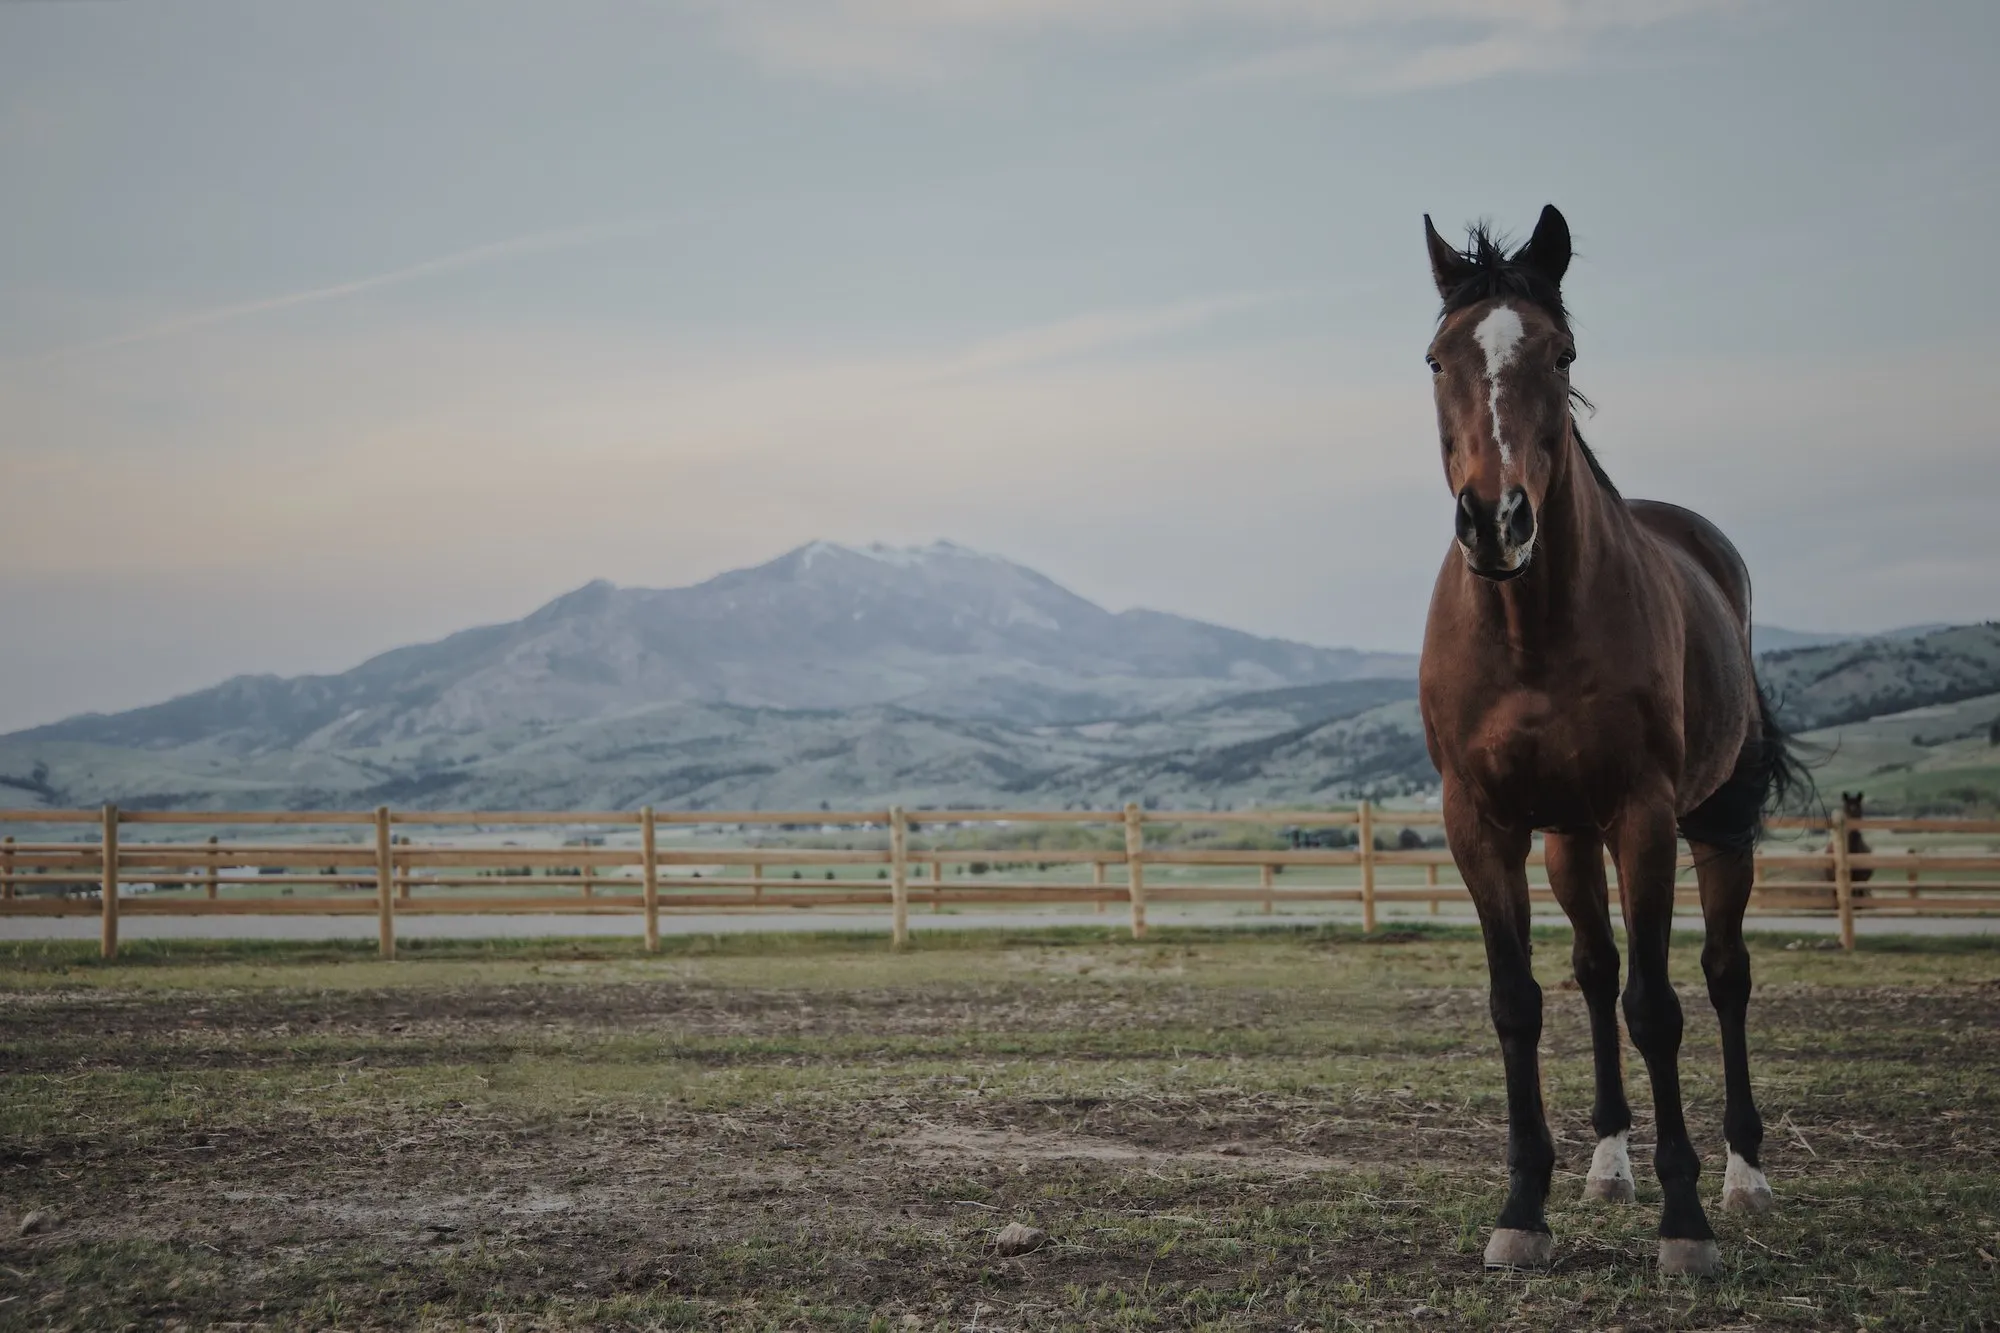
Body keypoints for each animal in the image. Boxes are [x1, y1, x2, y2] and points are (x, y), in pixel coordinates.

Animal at [1417, 205, 1802, 1276]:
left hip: (1712, 824)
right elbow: (1520, 1002)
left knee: (1723, 975)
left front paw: (1686, 1222)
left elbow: (1657, 1005)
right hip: (1567, 837)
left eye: (1562, 353)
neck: (1531, 627)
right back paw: (1607, 1165)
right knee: (1592, 973)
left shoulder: (1645, 815)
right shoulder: (1483, 823)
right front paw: (1523, 1207)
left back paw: (1743, 1176)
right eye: (1436, 358)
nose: (1495, 520)